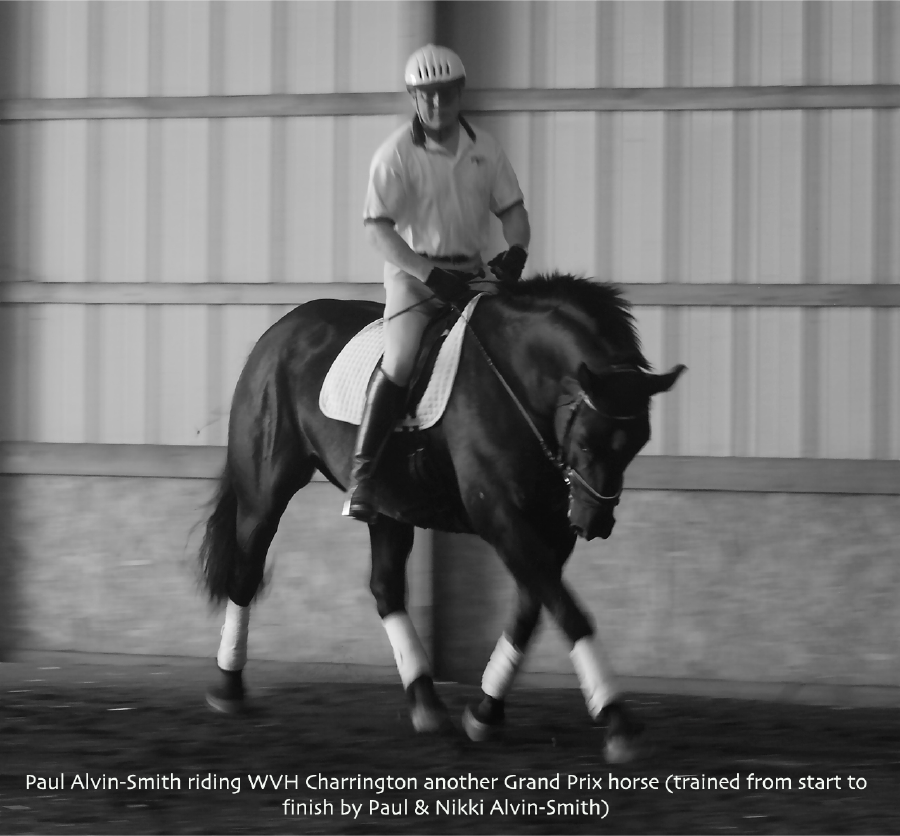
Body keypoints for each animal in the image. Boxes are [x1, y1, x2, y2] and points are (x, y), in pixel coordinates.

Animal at [198, 272, 685, 762]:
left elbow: (531, 610)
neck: (519, 384)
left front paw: (485, 712)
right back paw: (228, 688)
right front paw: (617, 720)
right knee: (246, 573)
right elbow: (569, 613)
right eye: (585, 440)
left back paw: (426, 702)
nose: (594, 523)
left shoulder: (549, 528)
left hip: (389, 508)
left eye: (638, 442)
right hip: (264, 492)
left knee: (386, 589)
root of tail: (279, 329)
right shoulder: (501, 517)